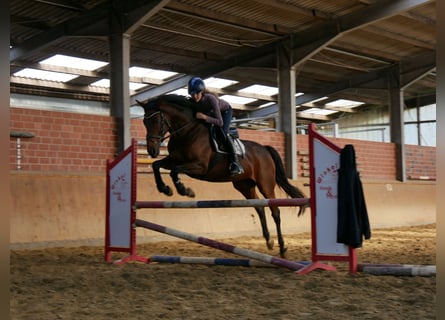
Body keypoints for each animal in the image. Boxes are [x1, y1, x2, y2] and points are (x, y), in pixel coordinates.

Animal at [137, 93, 306, 258]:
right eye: (144, 122)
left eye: (156, 120)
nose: (152, 150)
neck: (187, 131)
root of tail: (264, 149)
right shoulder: (174, 160)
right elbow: (157, 165)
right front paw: (165, 189)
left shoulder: (200, 166)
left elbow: (174, 171)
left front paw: (185, 190)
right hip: (244, 185)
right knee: (259, 206)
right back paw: (269, 241)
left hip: (265, 184)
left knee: (275, 211)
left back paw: (282, 248)